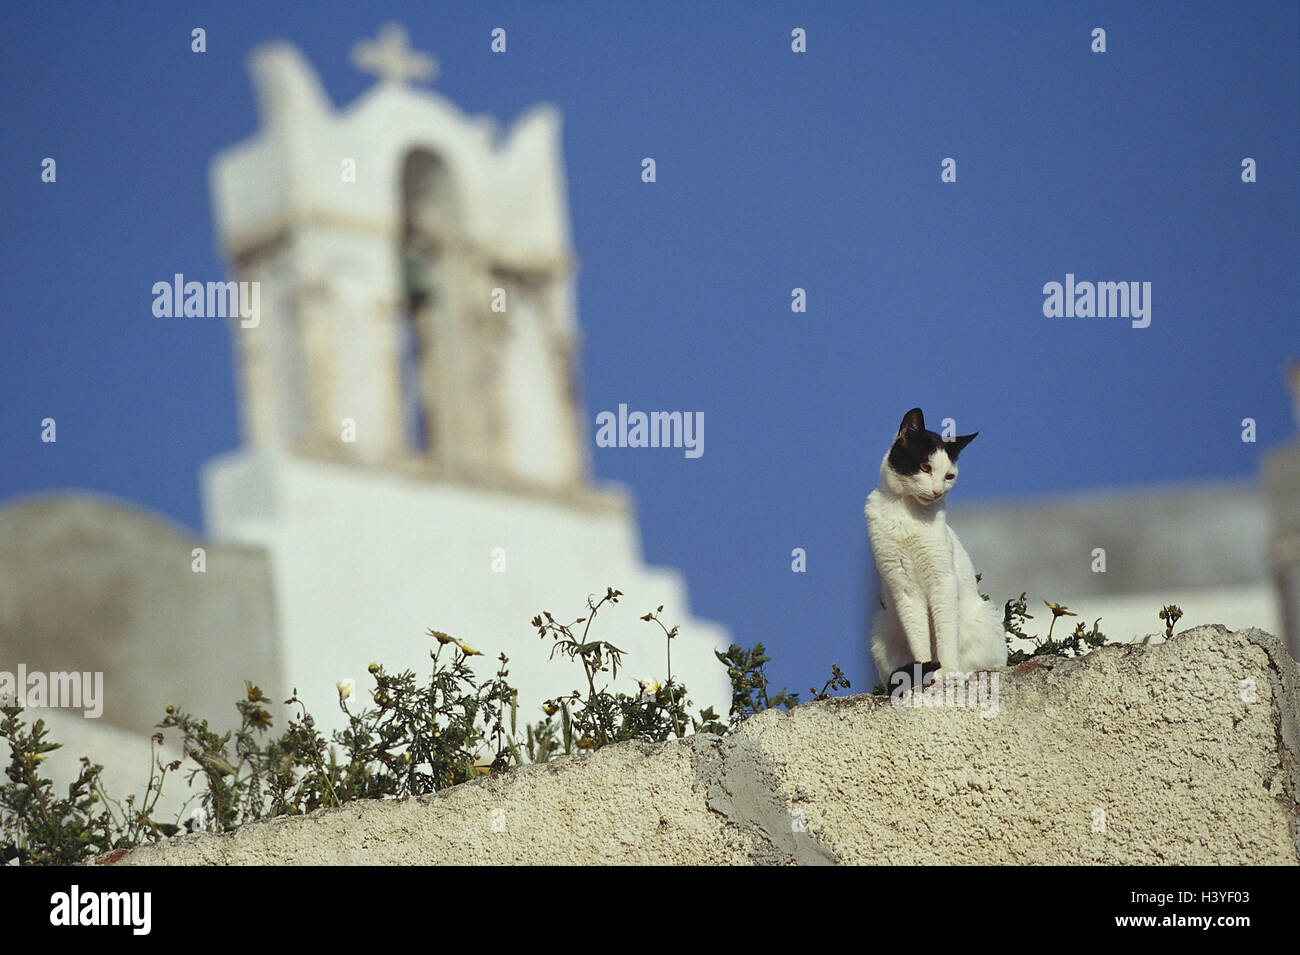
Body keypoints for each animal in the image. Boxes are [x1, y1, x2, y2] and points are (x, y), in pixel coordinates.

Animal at [863, 407, 1003, 691]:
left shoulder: (942, 580)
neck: (907, 513)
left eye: (949, 476)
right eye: (925, 467)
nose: (938, 491)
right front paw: (924, 668)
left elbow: (945, 630)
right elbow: (918, 635)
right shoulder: (904, 587)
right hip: (882, 629)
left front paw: (947, 671)